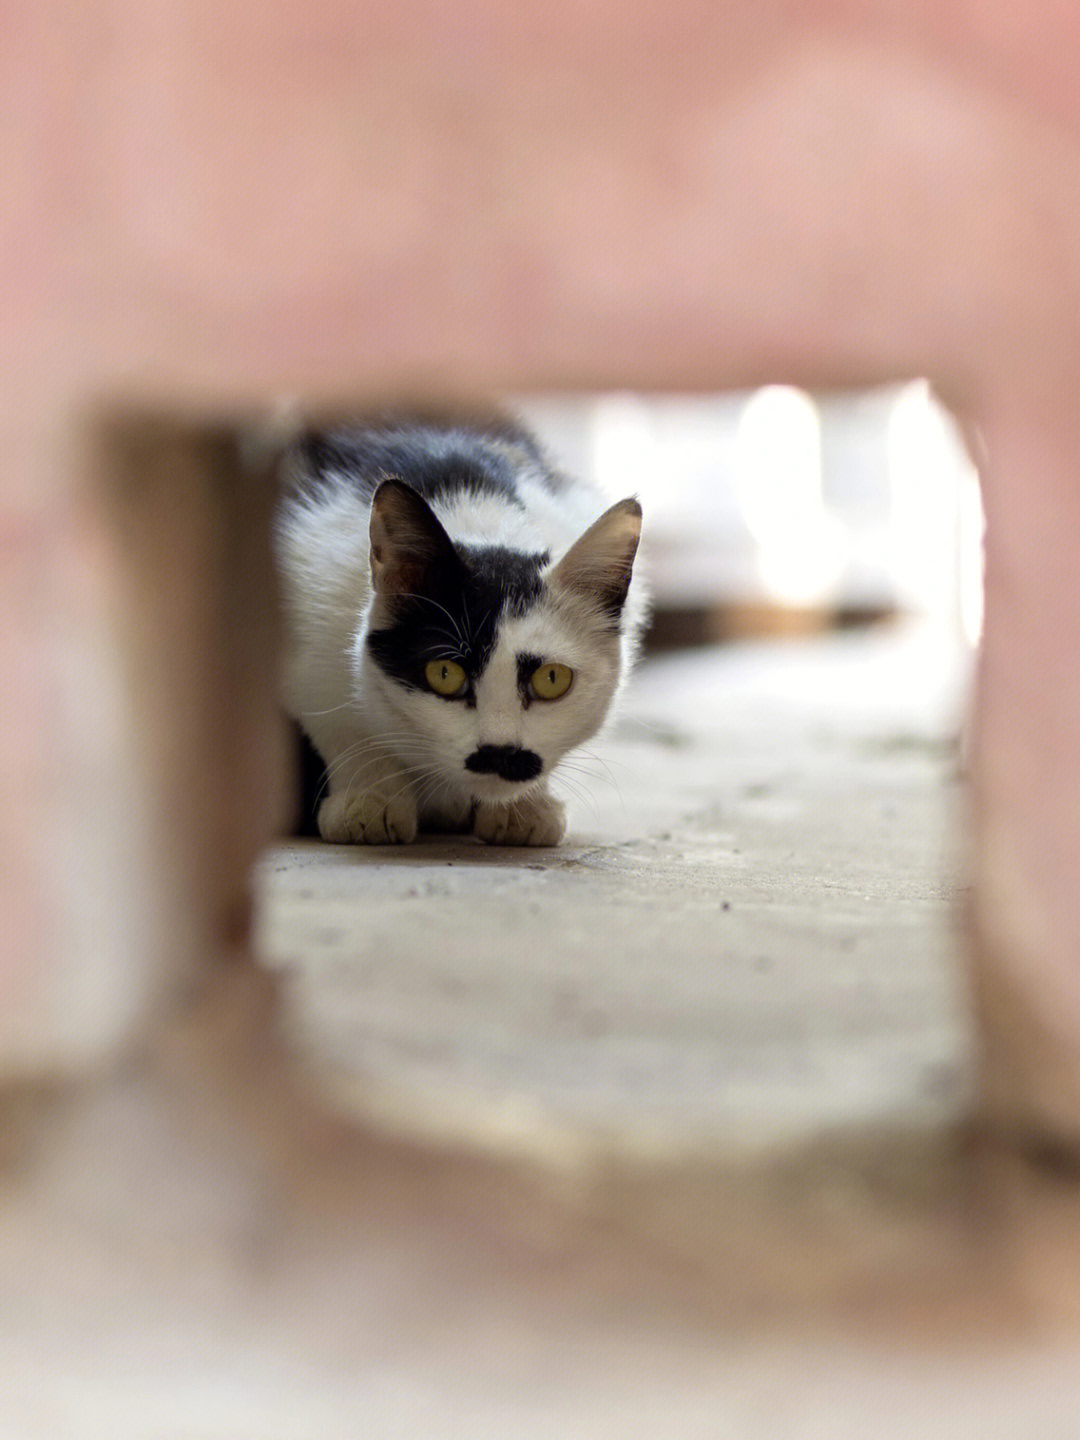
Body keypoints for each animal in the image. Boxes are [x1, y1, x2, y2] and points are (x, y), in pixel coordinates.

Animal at [275, 417, 648, 840]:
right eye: (444, 673)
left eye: (552, 679)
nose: (499, 753)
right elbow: (341, 724)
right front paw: (370, 801)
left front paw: (524, 809)